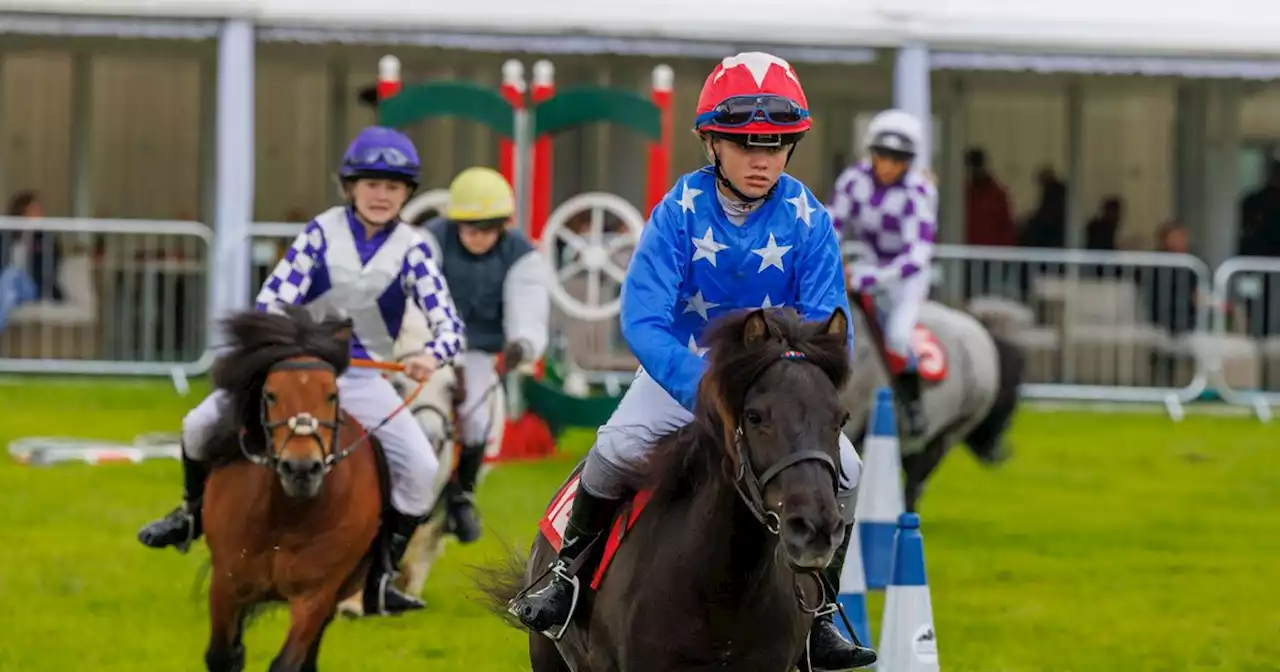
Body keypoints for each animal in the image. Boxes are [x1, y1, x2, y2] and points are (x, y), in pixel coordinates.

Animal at [199, 309, 384, 670]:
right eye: (271, 394)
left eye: (331, 394)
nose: (301, 469)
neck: (284, 515)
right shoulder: (226, 583)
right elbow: (223, 655)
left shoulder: (316, 594)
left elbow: (287, 662)